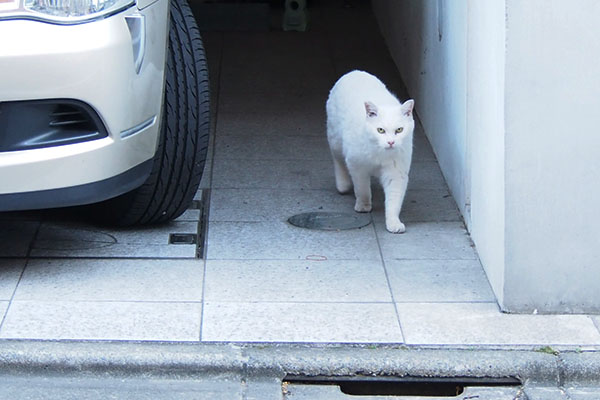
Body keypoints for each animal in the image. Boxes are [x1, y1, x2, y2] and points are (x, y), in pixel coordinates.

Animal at [326, 70, 414, 233]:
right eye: (380, 130)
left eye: (399, 130)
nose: (391, 142)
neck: (380, 154)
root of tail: (354, 72)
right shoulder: (357, 166)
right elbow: (362, 189)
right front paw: (363, 206)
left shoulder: (396, 173)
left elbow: (394, 201)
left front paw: (393, 223)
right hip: (335, 140)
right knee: (338, 161)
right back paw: (343, 185)